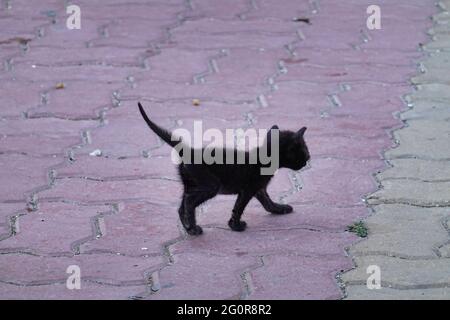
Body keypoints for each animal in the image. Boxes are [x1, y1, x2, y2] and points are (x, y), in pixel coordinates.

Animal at [139, 102, 312, 235]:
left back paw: (188, 227)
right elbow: (239, 207)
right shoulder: (248, 189)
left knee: (182, 206)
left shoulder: (259, 188)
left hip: (190, 184)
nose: (307, 161)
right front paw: (235, 225)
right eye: (304, 152)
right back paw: (193, 228)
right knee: (189, 202)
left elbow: (267, 202)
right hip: (210, 185)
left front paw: (279, 209)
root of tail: (189, 151)